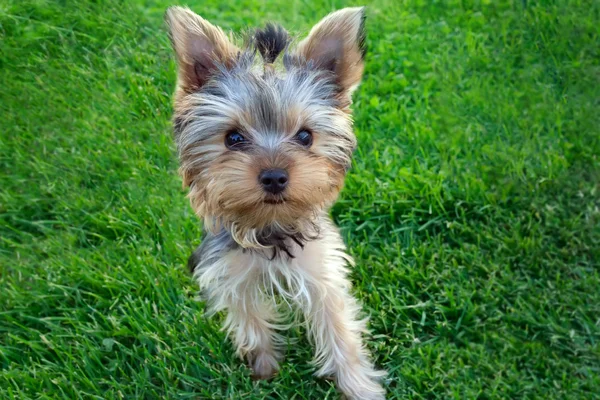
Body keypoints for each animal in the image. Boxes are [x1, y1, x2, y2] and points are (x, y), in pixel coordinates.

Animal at [165, 7, 384, 400]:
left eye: (306, 136)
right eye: (233, 138)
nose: (274, 176)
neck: (269, 226)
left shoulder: (322, 271)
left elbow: (339, 326)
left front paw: (359, 385)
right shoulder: (230, 274)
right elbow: (249, 318)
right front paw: (264, 366)